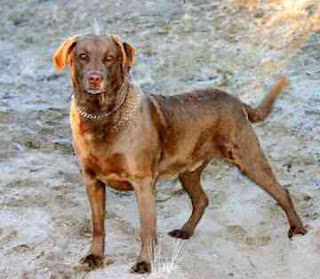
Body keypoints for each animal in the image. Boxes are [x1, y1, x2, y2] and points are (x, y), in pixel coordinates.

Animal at [53, 34, 308, 274]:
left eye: (109, 58)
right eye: (83, 56)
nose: (95, 78)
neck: (101, 117)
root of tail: (237, 101)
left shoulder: (143, 183)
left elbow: (147, 230)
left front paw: (145, 263)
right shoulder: (92, 181)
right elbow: (98, 225)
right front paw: (94, 257)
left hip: (249, 159)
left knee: (281, 191)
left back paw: (297, 228)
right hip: (189, 171)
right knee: (202, 199)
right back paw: (186, 230)